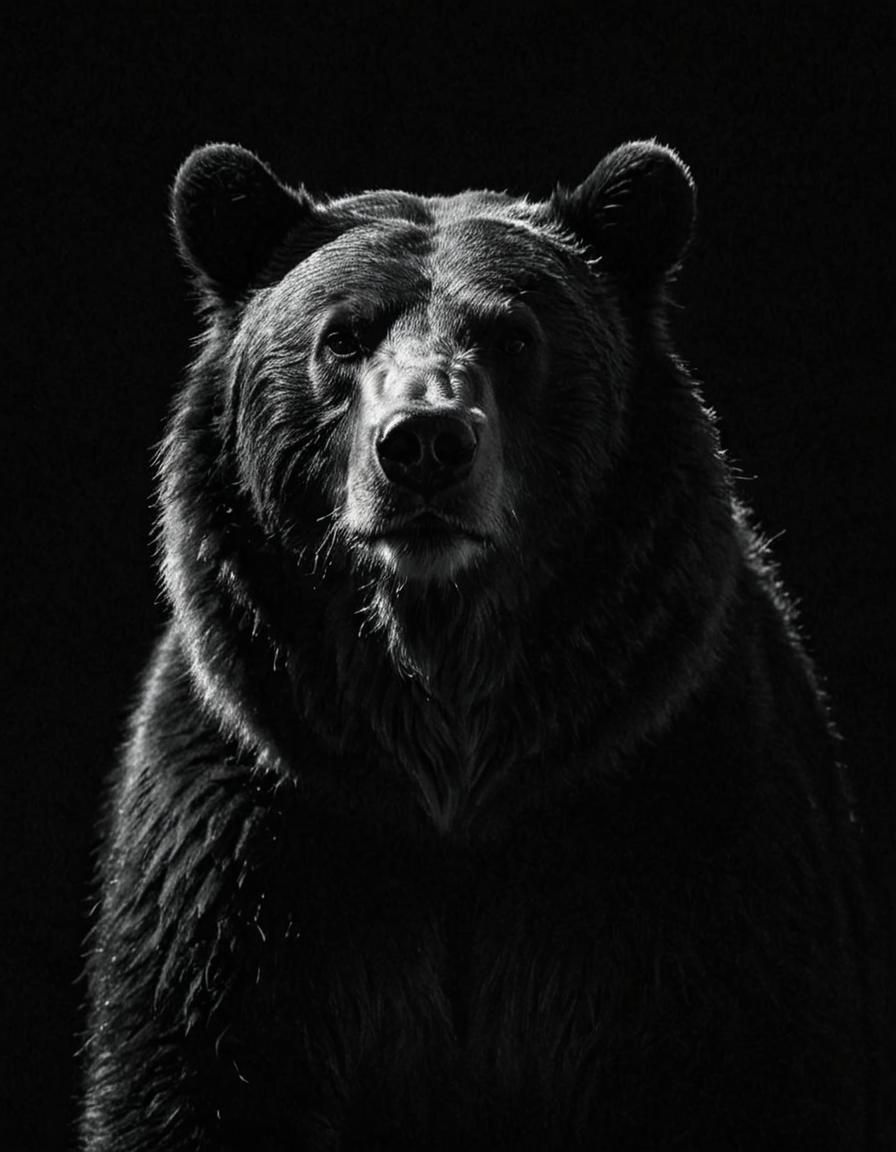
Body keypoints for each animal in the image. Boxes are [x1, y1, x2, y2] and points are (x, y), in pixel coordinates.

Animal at [81, 140, 883, 1150]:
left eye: (515, 337)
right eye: (342, 337)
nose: (424, 442)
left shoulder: (686, 817)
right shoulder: (254, 841)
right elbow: (187, 1074)